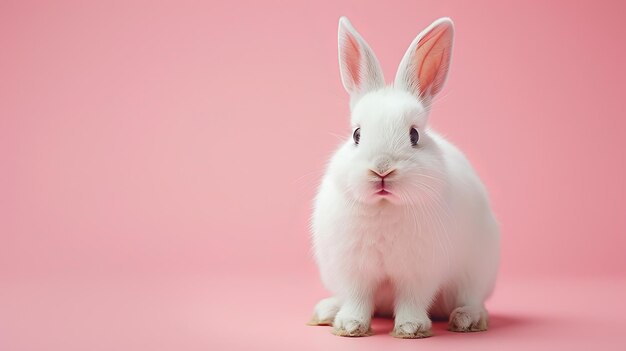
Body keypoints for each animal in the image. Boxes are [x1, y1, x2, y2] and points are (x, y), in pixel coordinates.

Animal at [308, 17, 498, 340]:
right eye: (357, 135)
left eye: (414, 135)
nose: (382, 169)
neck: (385, 206)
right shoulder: (354, 269)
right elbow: (357, 298)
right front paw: (350, 326)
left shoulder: (419, 271)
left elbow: (412, 298)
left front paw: (411, 328)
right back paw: (327, 312)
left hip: (473, 275)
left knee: (471, 301)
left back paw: (466, 319)